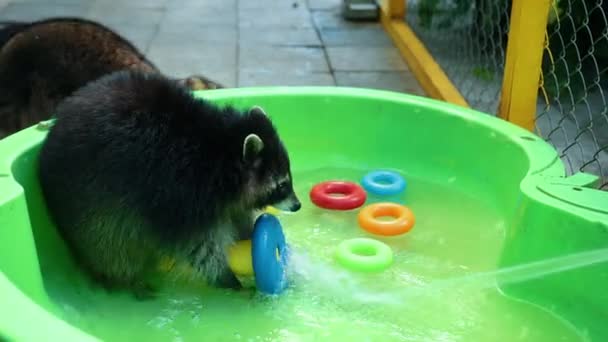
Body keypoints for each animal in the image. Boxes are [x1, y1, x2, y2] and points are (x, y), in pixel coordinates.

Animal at [38, 70, 302, 300]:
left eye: (288, 179)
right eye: (282, 185)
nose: (298, 205)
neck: (223, 152)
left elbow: (235, 215)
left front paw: (248, 234)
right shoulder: (179, 195)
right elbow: (199, 249)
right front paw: (228, 279)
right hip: (89, 206)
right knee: (108, 244)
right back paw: (126, 279)